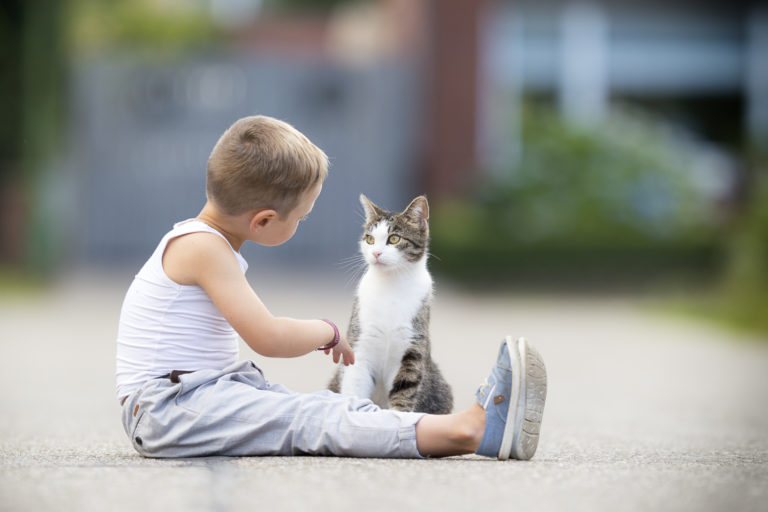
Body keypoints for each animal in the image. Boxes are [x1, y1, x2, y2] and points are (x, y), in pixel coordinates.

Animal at [328, 194, 452, 414]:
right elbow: (354, 388)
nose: (376, 253)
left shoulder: (412, 349)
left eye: (394, 238)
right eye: (369, 239)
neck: (390, 284)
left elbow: (405, 393)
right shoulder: (360, 345)